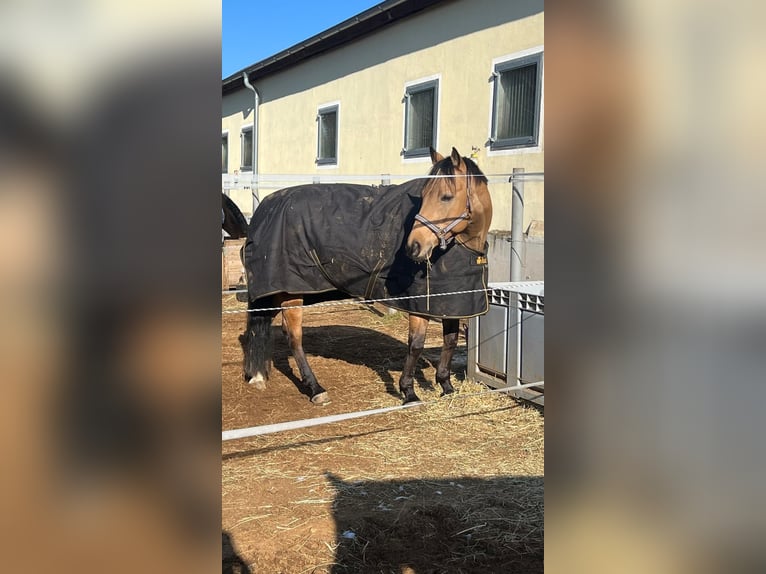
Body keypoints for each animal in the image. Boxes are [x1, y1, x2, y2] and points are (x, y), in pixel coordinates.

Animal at [240, 147, 492, 405]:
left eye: (446, 197)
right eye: (424, 196)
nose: (414, 247)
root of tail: (266, 207)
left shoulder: (452, 303)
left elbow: (450, 341)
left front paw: (446, 386)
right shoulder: (419, 305)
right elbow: (416, 345)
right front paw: (409, 392)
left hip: (278, 291)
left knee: (262, 324)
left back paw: (257, 375)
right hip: (291, 290)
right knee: (293, 337)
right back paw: (316, 388)